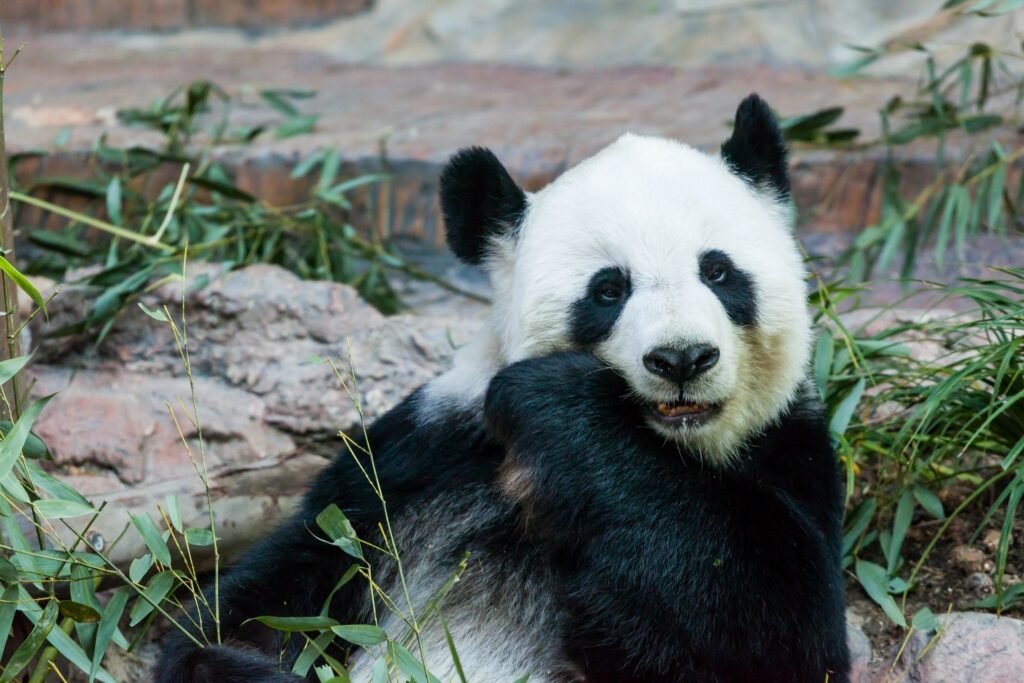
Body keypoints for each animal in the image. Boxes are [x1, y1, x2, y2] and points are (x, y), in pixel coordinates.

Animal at [157, 94, 849, 683]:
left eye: (719, 272)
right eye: (608, 290)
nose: (682, 357)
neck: (671, 448)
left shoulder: (789, 450)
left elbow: (780, 629)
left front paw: (565, 409)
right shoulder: (416, 463)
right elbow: (270, 598)